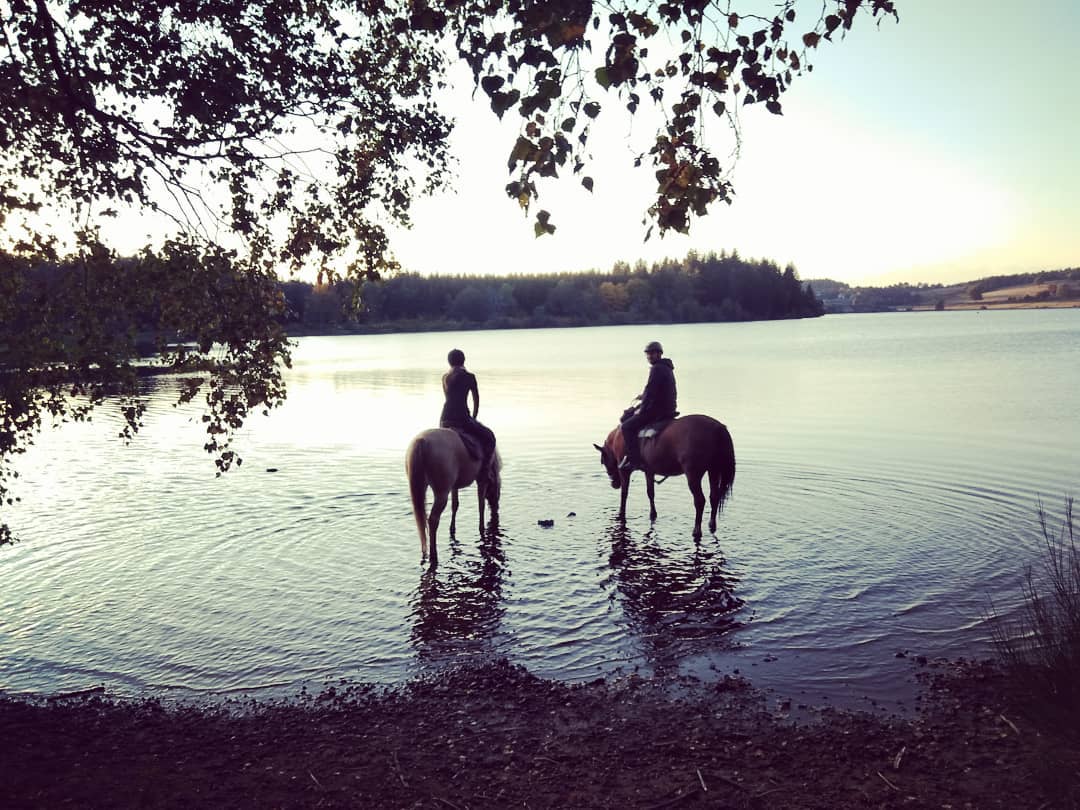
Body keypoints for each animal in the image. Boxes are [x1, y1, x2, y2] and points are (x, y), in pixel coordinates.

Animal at [406, 428, 501, 567]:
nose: (495, 511)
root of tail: (421, 441)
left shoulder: (454, 486)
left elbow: (455, 505)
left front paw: (452, 528)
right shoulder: (481, 481)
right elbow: (481, 505)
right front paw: (481, 528)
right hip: (441, 493)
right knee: (433, 520)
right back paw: (433, 555)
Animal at [594, 414, 735, 538]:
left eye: (603, 461)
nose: (614, 484)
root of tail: (718, 428)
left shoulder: (625, 472)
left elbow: (624, 494)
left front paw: (621, 513)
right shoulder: (649, 471)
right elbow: (650, 493)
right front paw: (653, 514)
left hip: (693, 475)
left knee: (700, 501)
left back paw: (696, 531)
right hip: (713, 470)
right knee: (714, 497)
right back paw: (712, 525)